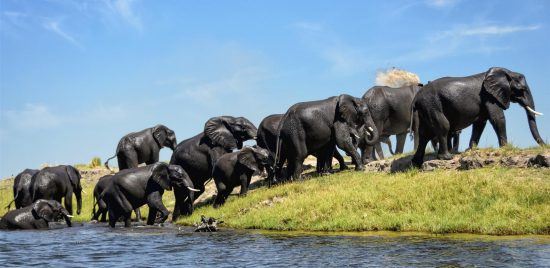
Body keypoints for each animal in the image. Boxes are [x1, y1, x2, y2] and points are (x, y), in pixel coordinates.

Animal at [412, 67, 544, 168]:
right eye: (522, 90)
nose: (544, 145)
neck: (507, 72)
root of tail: (416, 98)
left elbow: (480, 123)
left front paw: (471, 150)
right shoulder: (489, 96)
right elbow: (497, 118)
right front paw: (506, 148)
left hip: (426, 108)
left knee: (425, 134)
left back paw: (416, 163)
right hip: (432, 104)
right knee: (443, 126)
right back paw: (447, 157)